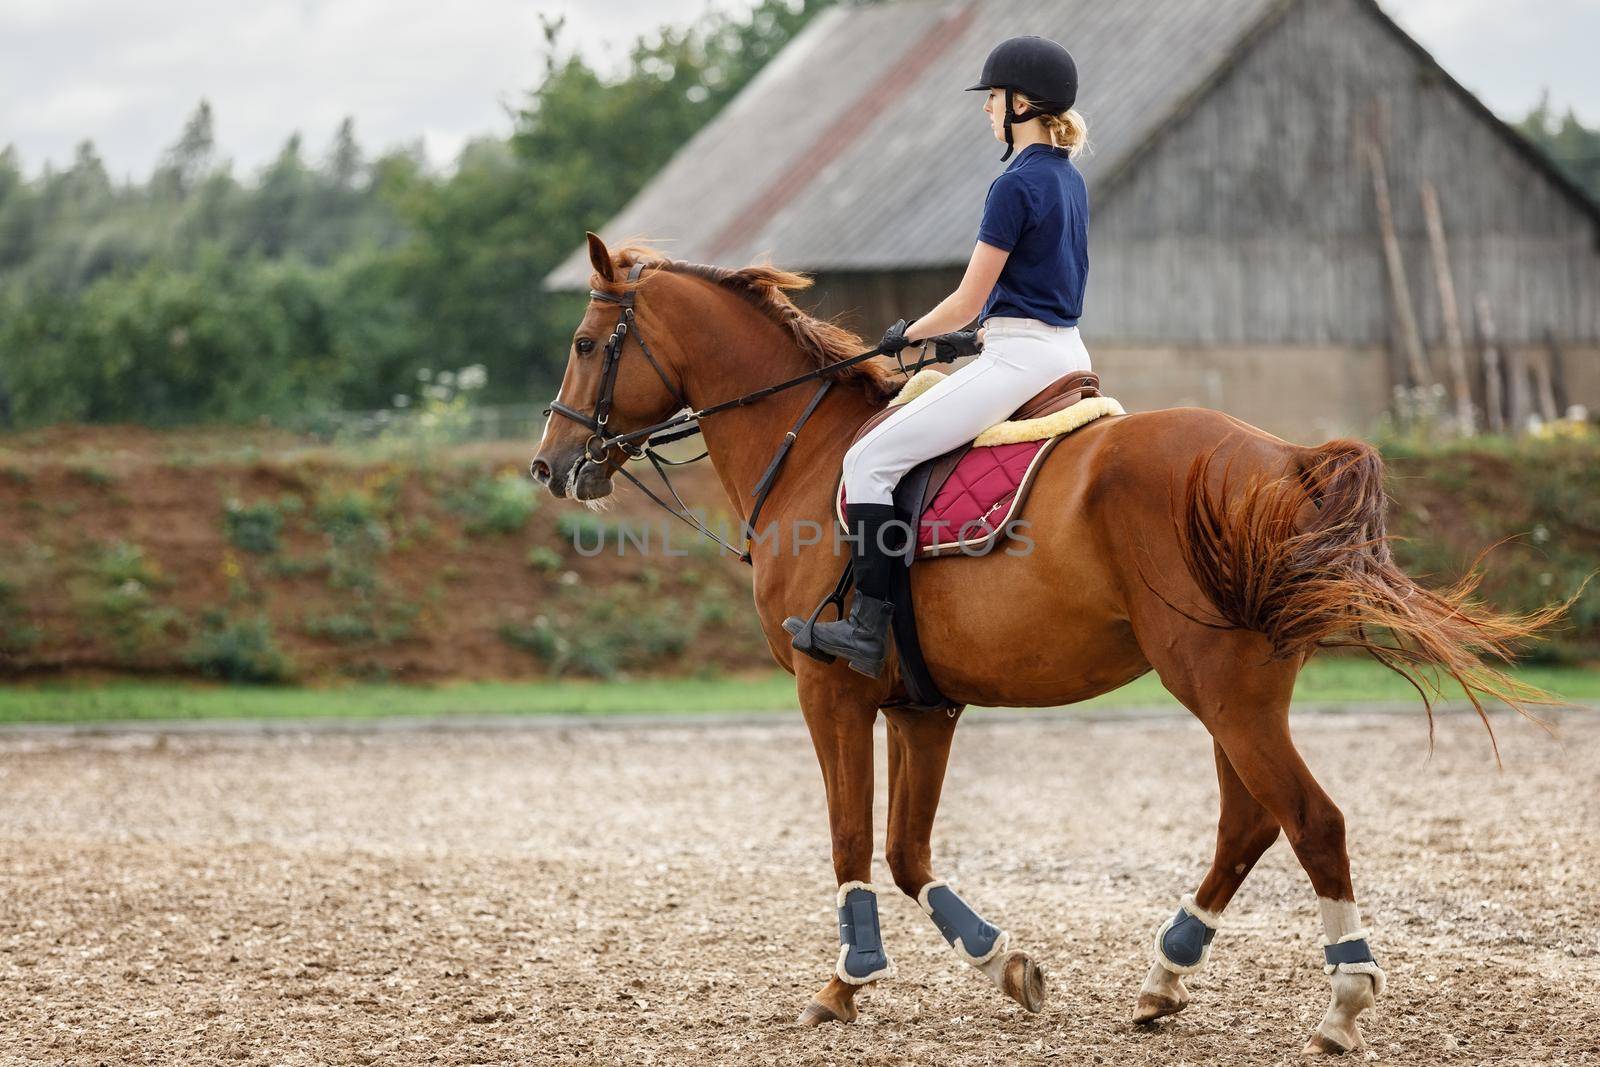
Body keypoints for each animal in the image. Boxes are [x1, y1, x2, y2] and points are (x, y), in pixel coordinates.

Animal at [531, 235, 1555, 1049]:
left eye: (584, 345)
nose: (550, 465)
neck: (811, 450)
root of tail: (1284, 457)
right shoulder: (924, 705)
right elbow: (907, 852)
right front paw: (1004, 963)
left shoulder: (832, 689)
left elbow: (851, 838)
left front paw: (845, 982)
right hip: (1242, 685)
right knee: (1251, 820)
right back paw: (1163, 978)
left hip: (1218, 683)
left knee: (1311, 819)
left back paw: (1341, 1002)